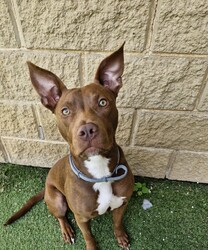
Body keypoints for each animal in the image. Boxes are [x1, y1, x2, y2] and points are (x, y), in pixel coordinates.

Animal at [5, 44, 135, 249]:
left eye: (103, 102)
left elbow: (117, 222)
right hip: (57, 200)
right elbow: (88, 236)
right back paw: (66, 230)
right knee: (60, 216)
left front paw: (121, 236)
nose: (87, 130)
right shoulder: (81, 217)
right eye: (65, 111)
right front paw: (91, 246)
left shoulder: (122, 204)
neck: (99, 171)